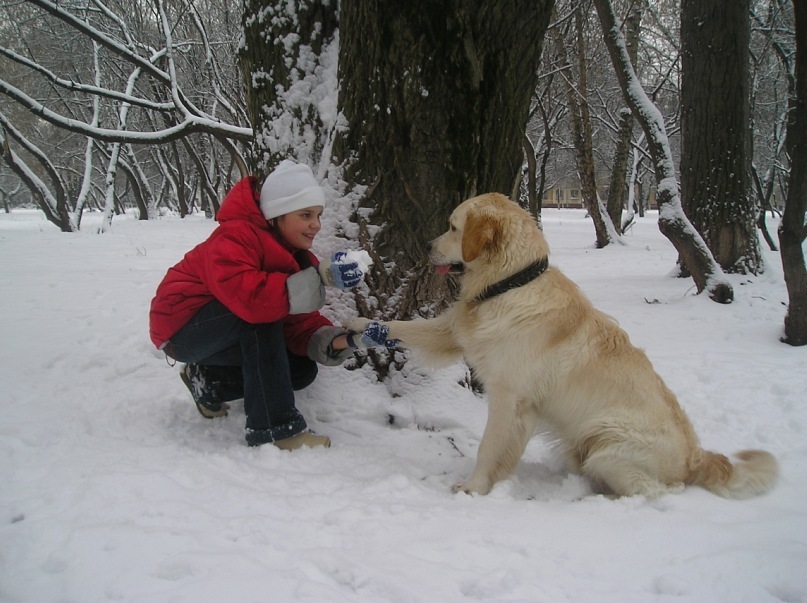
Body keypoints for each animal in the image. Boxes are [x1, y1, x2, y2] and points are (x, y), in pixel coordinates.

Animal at [348, 193, 776, 500]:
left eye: (453, 227)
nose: (425, 244)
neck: (511, 283)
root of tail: (695, 457)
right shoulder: (453, 331)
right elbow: (402, 327)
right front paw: (355, 324)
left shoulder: (509, 398)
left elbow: (489, 446)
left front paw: (474, 487)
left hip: (607, 444)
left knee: (655, 490)